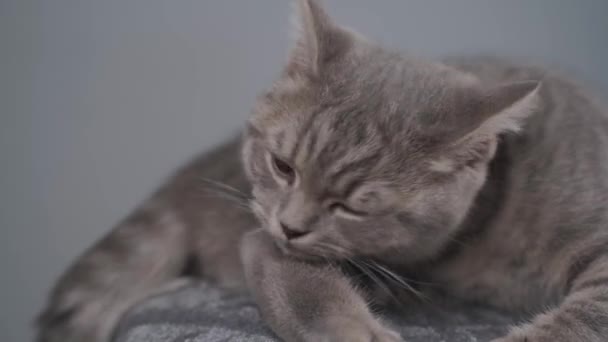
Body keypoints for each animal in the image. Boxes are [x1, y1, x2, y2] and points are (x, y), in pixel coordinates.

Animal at [36, 0, 608, 342]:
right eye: (282, 166)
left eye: (353, 206)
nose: (290, 226)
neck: (487, 223)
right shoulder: (263, 240)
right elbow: (306, 290)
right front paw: (354, 329)